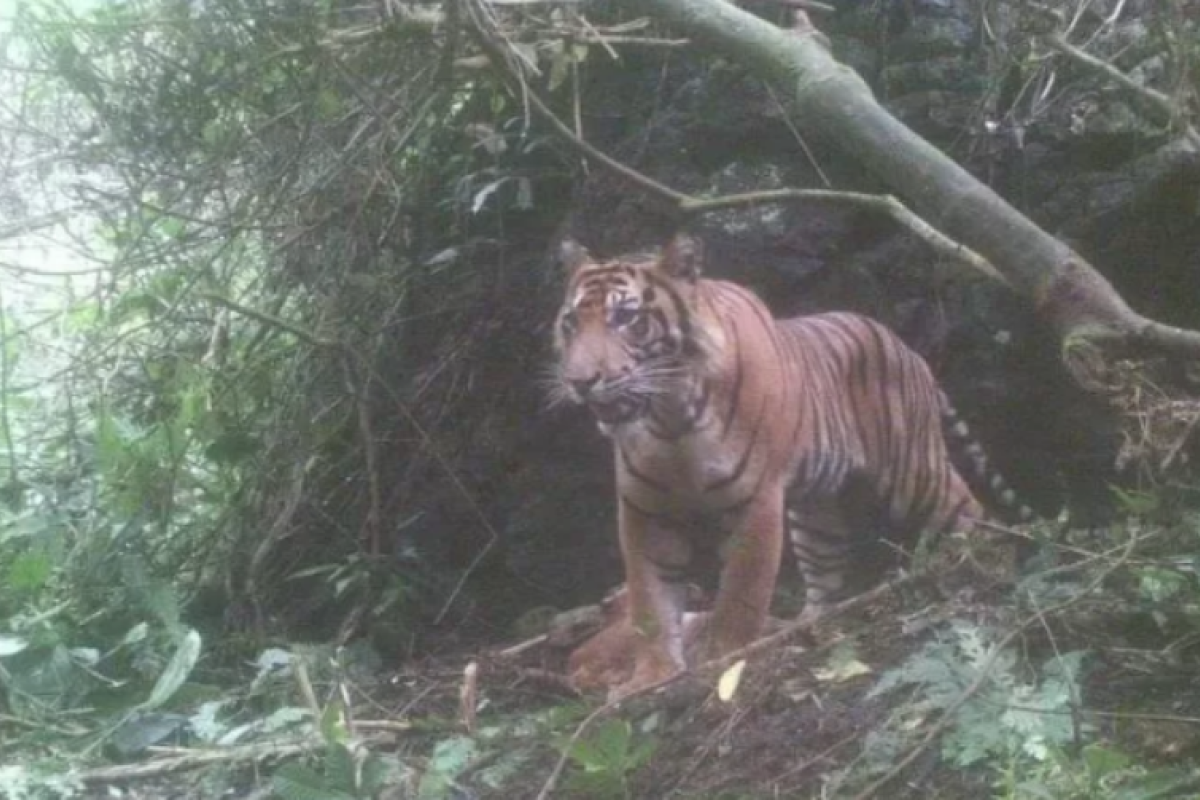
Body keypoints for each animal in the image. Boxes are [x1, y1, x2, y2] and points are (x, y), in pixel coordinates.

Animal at [549, 231, 1027, 700]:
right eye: (571, 323)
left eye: (625, 318)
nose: (580, 381)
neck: (671, 419)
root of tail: (909, 350)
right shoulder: (645, 510)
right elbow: (649, 602)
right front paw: (652, 679)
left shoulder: (756, 500)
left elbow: (741, 594)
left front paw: (724, 663)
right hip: (817, 512)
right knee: (826, 576)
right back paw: (809, 630)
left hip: (913, 472)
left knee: (968, 509)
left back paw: (982, 563)